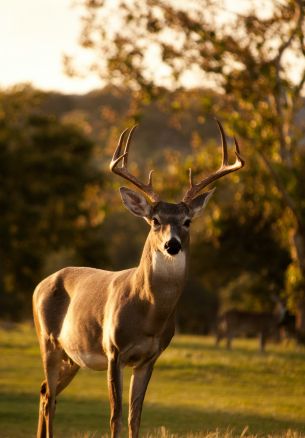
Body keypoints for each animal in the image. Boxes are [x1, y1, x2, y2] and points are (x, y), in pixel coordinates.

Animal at [32, 120, 243, 438]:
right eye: (155, 220)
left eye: (187, 221)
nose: (172, 245)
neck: (148, 314)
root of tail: (40, 284)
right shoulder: (113, 351)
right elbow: (115, 416)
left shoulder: (149, 358)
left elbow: (135, 417)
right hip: (47, 340)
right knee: (50, 396)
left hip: (72, 355)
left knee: (46, 392)